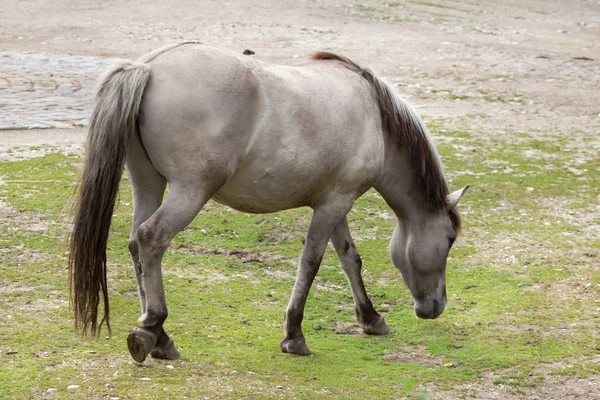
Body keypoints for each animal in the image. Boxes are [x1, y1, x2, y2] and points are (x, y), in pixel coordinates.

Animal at [68, 43, 466, 362]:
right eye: (449, 239)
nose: (436, 306)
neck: (377, 121)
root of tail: (148, 67)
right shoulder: (334, 205)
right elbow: (312, 262)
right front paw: (294, 336)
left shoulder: (335, 201)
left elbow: (349, 259)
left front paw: (371, 319)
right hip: (189, 192)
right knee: (151, 240)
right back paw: (153, 327)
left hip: (148, 183)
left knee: (136, 243)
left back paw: (158, 337)